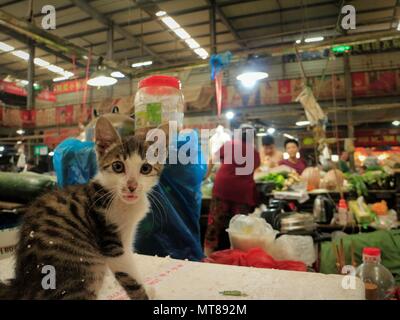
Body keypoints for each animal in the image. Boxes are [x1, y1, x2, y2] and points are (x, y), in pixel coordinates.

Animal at [0, 117, 166, 300]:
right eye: (118, 166)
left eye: (145, 168)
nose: (132, 186)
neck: (120, 200)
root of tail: (21, 286)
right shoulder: (112, 243)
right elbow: (129, 276)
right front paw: (144, 295)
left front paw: (149, 289)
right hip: (83, 270)